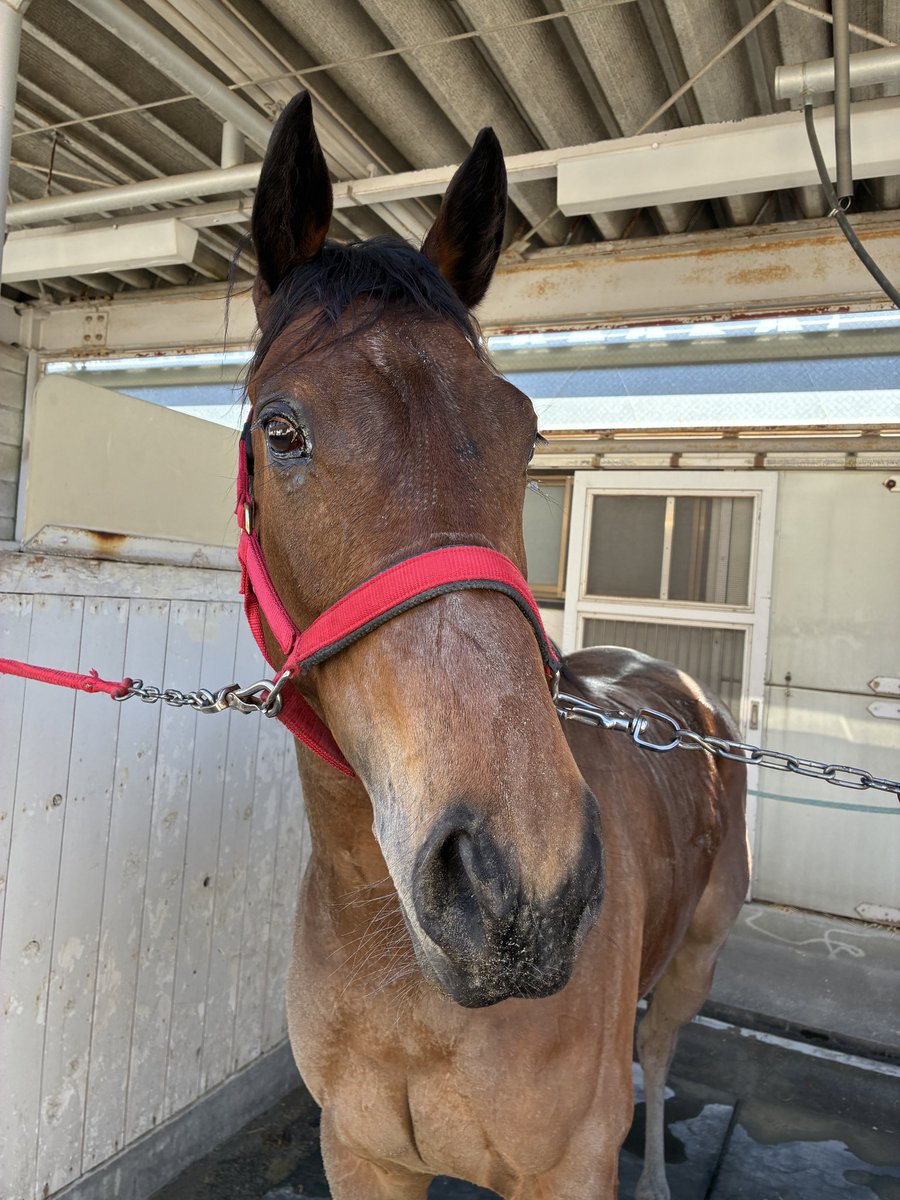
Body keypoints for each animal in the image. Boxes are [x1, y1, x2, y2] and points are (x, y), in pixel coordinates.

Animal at [243, 90, 748, 1200]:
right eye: (280, 430)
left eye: (526, 435)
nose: (521, 887)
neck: (400, 971)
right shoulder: (358, 1154)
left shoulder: (569, 1169)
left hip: (697, 957)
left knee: (660, 1057)